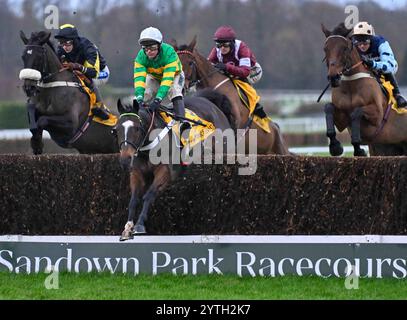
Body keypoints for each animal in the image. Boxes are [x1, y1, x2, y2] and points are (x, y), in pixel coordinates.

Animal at [117, 92, 233, 240]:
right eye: (116, 130)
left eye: (137, 128)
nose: (125, 160)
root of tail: (214, 107)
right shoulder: (137, 173)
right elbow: (133, 200)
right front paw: (127, 228)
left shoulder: (166, 172)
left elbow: (149, 195)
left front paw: (139, 225)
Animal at [322, 23, 407, 156]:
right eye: (325, 49)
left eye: (345, 48)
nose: (333, 77)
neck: (352, 86)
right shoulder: (342, 120)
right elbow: (328, 107)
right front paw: (335, 146)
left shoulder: (377, 115)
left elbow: (356, 112)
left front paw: (358, 147)